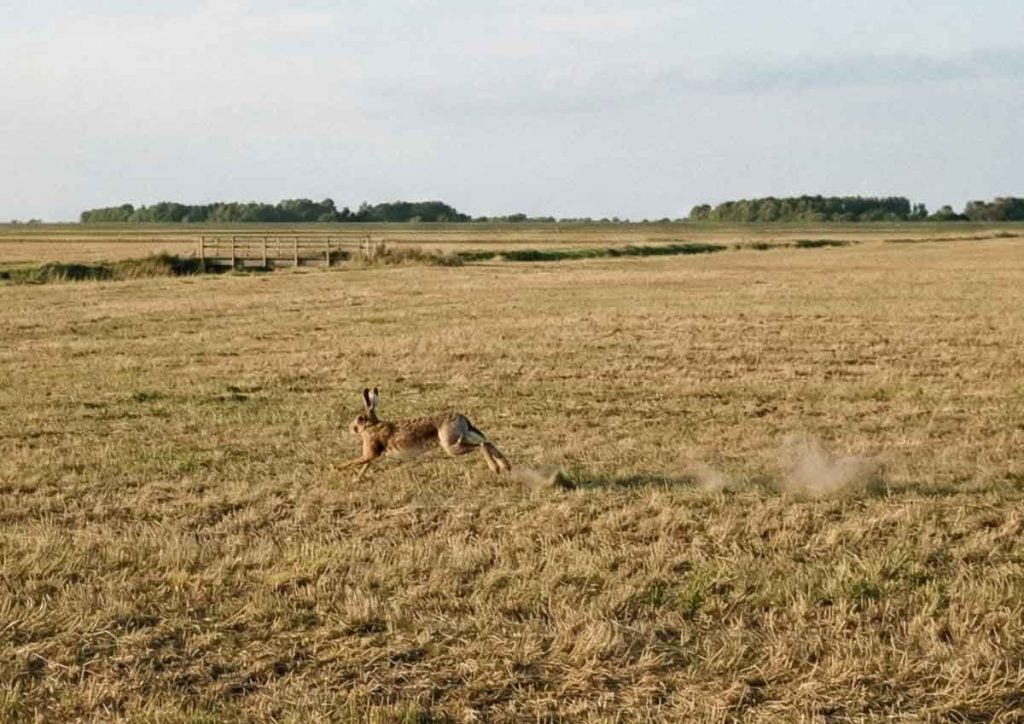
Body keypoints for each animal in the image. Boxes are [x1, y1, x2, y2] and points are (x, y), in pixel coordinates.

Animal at [340, 387, 512, 480]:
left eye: (359, 419)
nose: (351, 428)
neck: (372, 425)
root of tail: (463, 419)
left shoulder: (370, 451)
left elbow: (355, 462)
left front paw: (339, 468)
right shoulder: (371, 455)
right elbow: (365, 465)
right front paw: (356, 479)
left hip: (451, 446)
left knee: (482, 444)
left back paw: (495, 469)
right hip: (462, 438)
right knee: (488, 442)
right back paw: (506, 466)